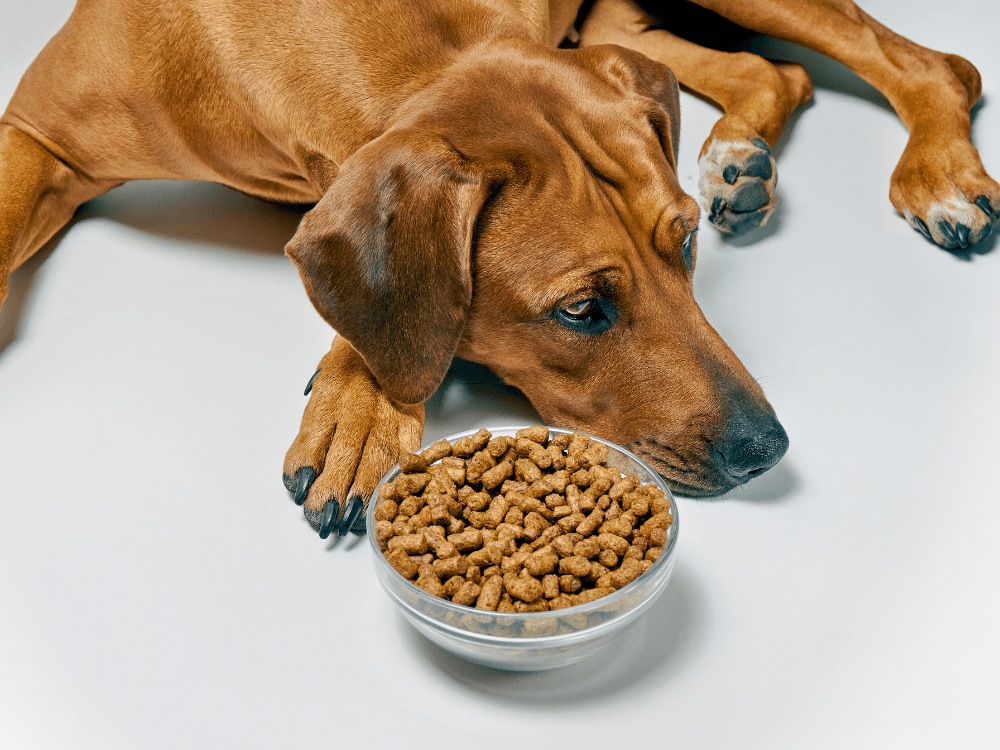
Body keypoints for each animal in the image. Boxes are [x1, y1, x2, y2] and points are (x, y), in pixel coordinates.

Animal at [1, 1, 992, 540]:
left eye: (683, 248)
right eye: (582, 310)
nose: (767, 449)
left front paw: (360, 402)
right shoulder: (34, 132)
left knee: (934, 64)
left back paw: (939, 172)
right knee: (773, 69)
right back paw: (739, 154)